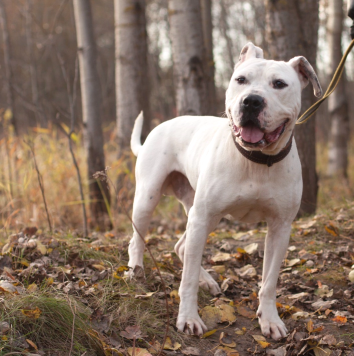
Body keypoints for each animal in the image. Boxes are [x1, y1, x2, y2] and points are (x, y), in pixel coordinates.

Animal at [126, 43, 320, 340]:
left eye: (279, 84)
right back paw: (136, 271)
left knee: (183, 247)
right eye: (241, 80)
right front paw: (188, 318)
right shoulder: (202, 215)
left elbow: (269, 282)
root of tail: (158, 128)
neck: (256, 161)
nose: (251, 101)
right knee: (139, 239)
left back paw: (206, 280)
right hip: (152, 198)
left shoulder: (280, 227)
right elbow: (187, 280)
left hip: (202, 214)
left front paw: (270, 319)